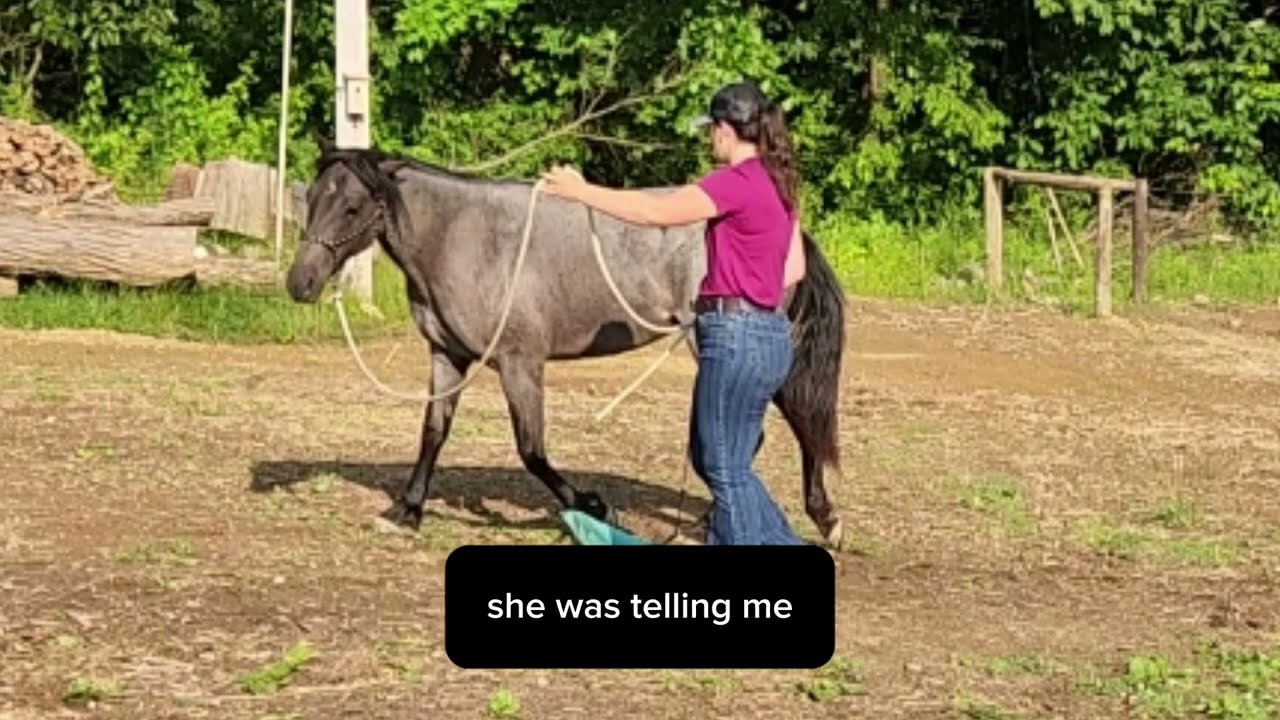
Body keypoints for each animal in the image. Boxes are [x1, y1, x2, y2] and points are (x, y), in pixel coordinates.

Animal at [284, 144, 848, 546]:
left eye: (352, 206)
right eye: (311, 200)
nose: (300, 283)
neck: (462, 238)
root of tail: (793, 232)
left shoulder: (520, 363)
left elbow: (532, 451)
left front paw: (595, 507)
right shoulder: (448, 356)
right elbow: (433, 434)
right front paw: (406, 510)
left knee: (789, 426)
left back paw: (820, 518)